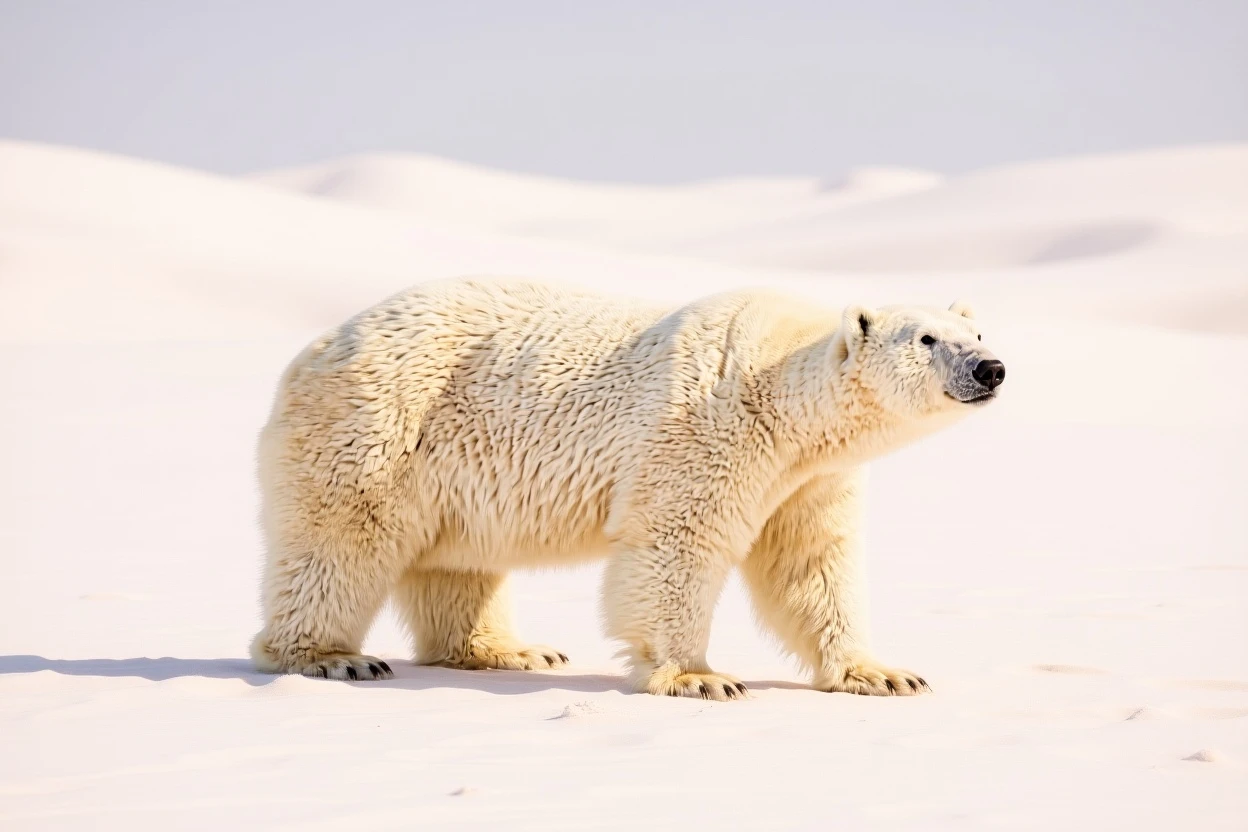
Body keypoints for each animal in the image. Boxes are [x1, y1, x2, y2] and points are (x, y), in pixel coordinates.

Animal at [250, 278, 1005, 699]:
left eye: (976, 331)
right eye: (926, 338)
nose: (990, 368)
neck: (781, 387)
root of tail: (318, 347)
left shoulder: (808, 477)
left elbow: (810, 561)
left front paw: (883, 674)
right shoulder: (708, 430)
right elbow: (678, 544)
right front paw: (699, 676)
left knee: (458, 559)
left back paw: (508, 649)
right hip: (379, 423)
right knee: (341, 539)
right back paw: (330, 658)